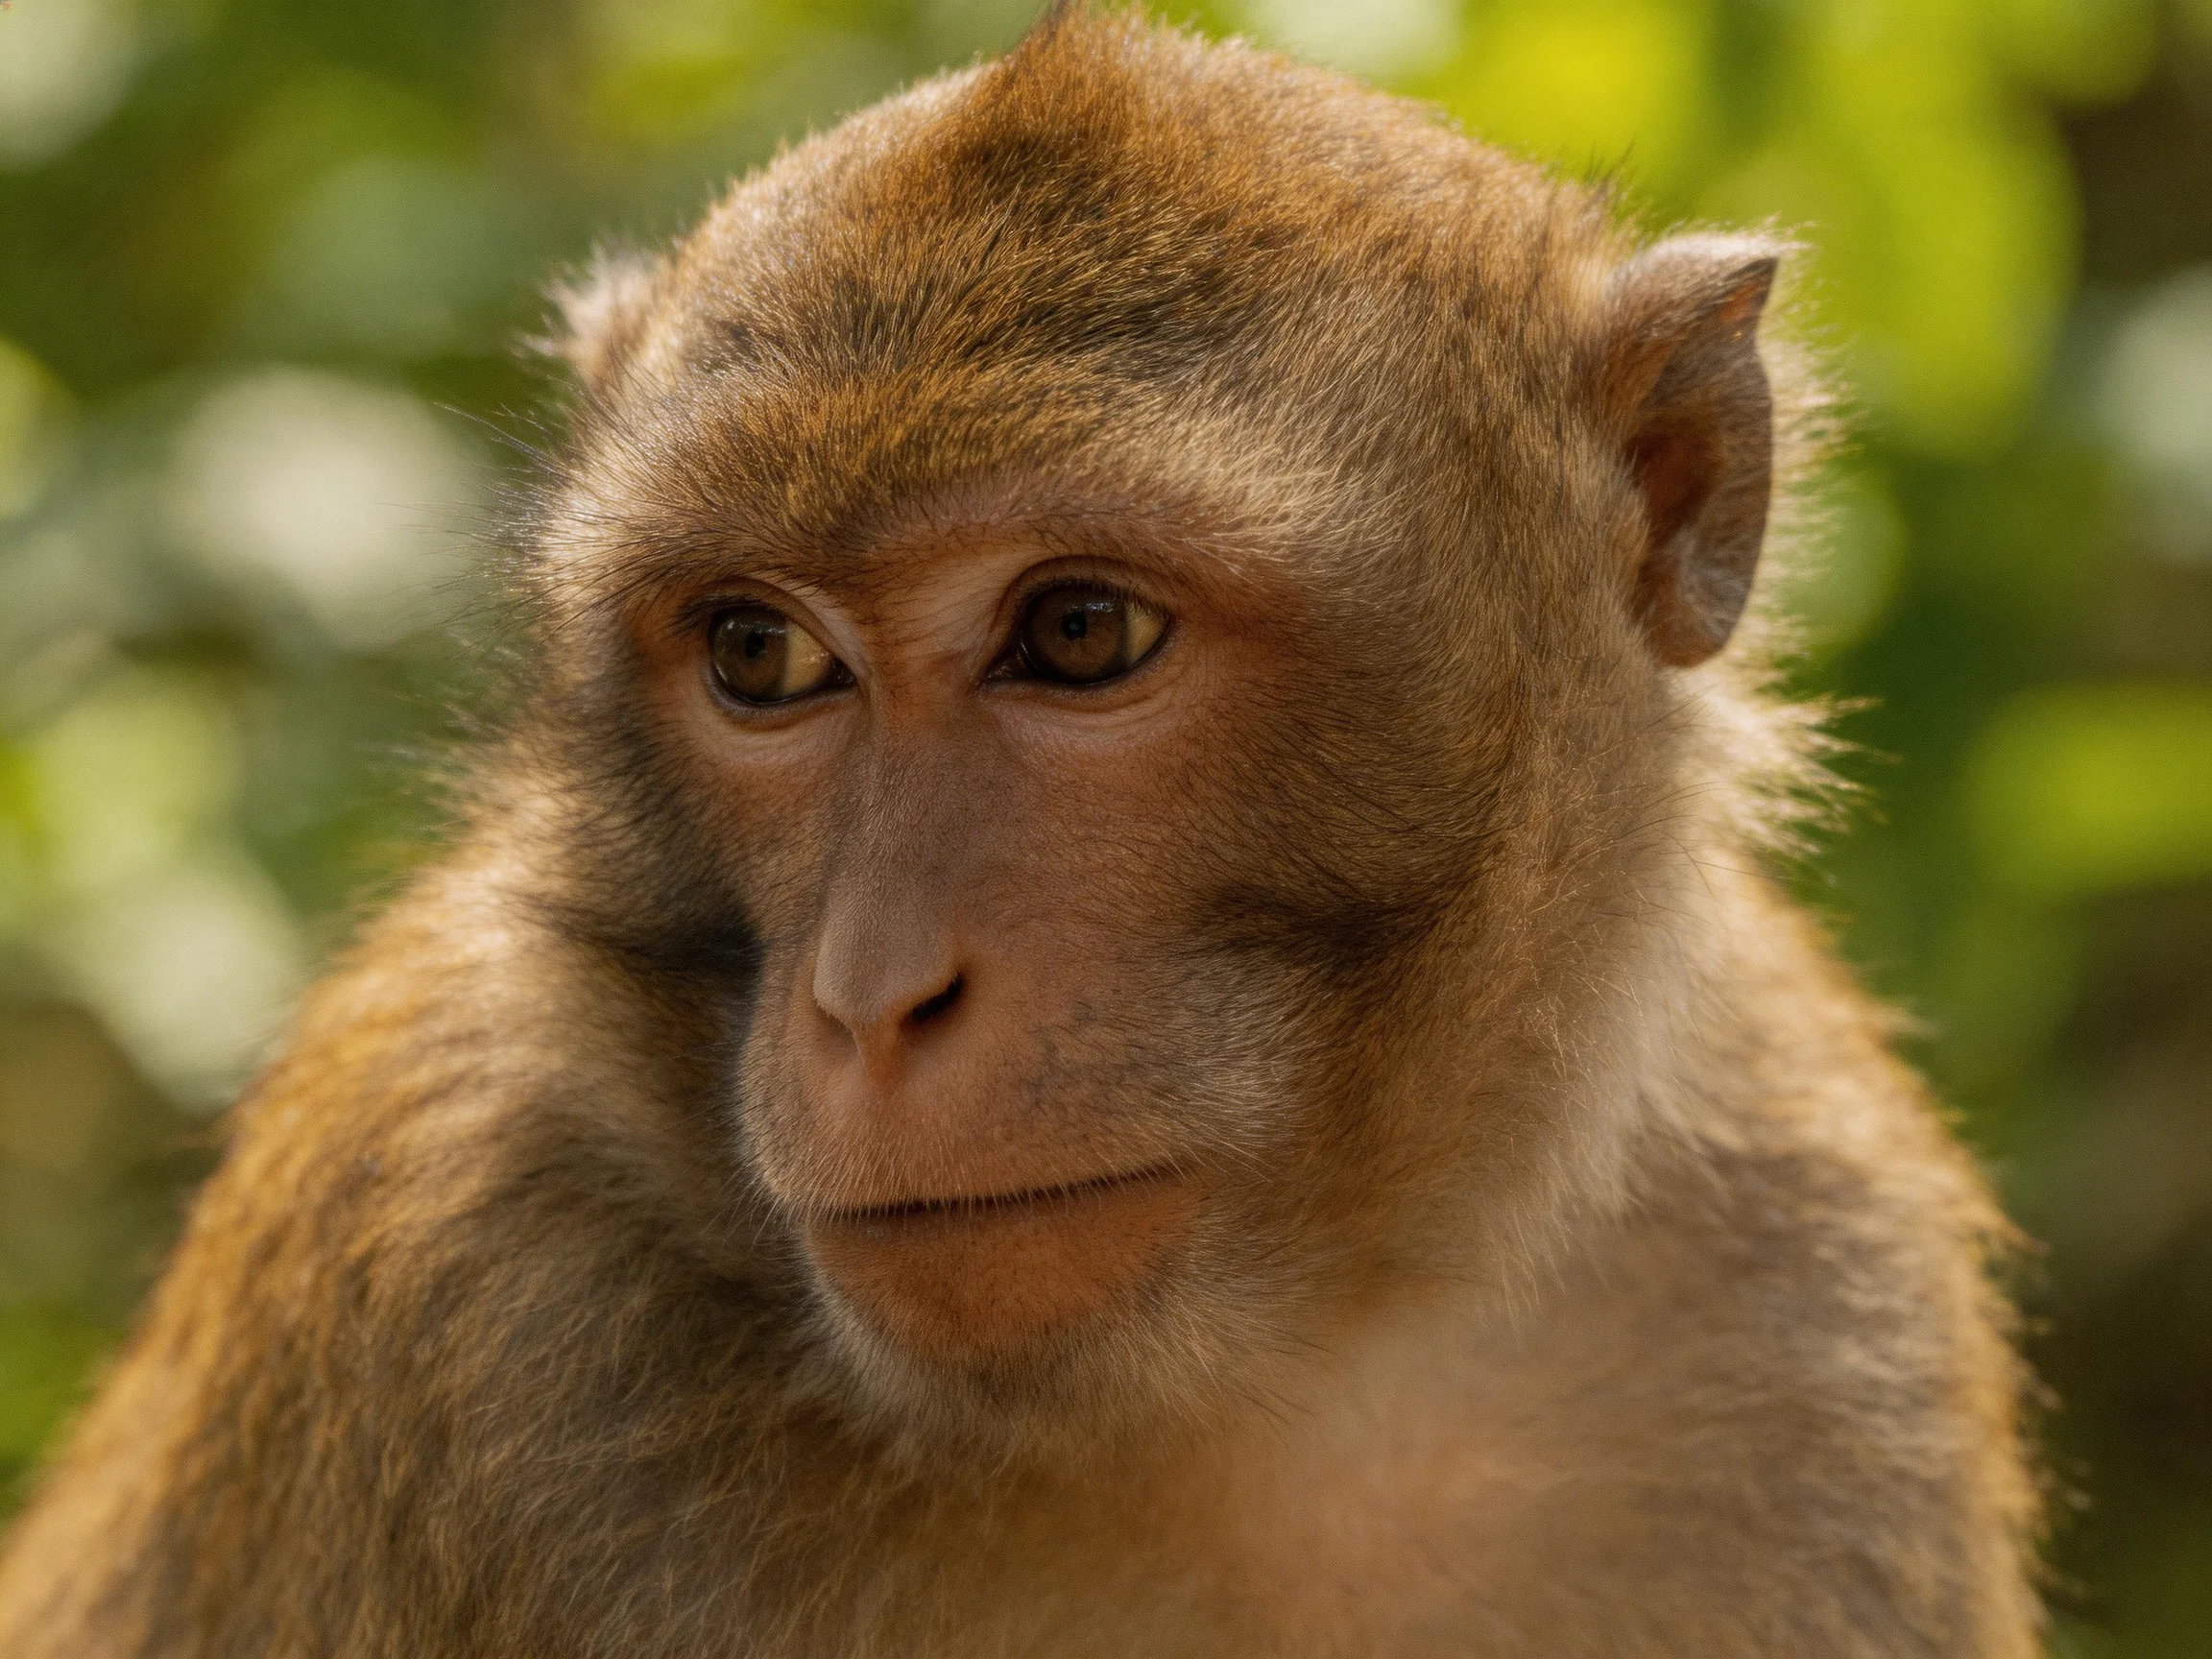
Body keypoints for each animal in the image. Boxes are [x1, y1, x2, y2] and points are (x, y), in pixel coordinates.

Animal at [0, 8, 2041, 1656]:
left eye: (1078, 631)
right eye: (758, 652)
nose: (867, 994)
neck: (1273, 1380)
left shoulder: (1814, 1281)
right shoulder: (447, 1268)